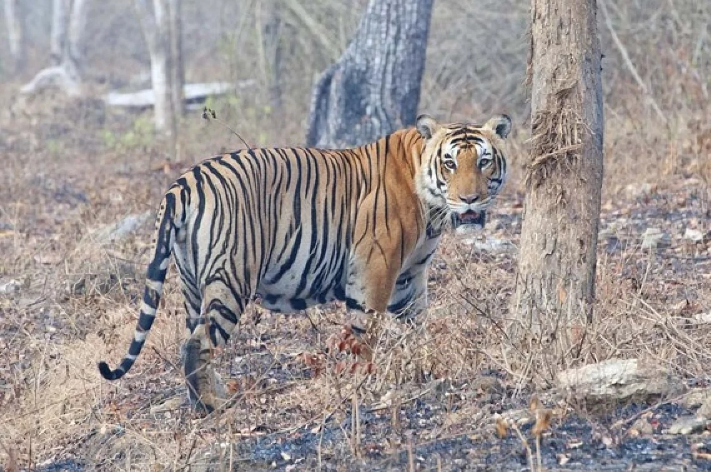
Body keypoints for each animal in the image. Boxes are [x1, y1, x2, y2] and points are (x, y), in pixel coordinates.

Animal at [98, 112, 512, 412]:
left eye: (484, 162)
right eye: (450, 163)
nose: (471, 199)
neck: (432, 207)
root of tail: (183, 182)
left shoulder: (409, 277)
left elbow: (417, 326)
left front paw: (424, 369)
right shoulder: (376, 267)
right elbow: (366, 330)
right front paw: (363, 380)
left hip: (191, 283)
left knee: (194, 338)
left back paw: (210, 395)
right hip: (231, 276)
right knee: (198, 343)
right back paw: (212, 406)